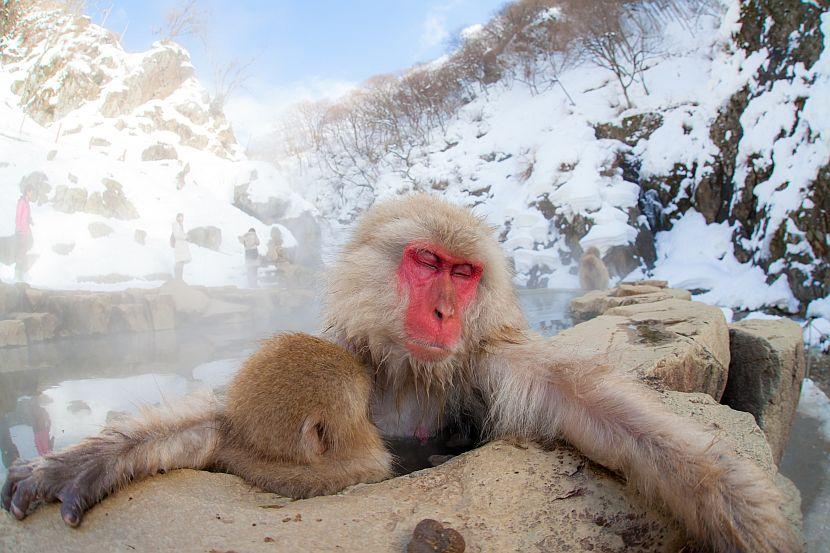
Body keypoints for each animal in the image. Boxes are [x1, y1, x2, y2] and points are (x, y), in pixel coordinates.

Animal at [3, 195, 804, 552]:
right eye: (426, 262)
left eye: (465, 272)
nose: (447, 310)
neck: (410, 373)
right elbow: (224, 421)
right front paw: (92, 458)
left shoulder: (488, 362)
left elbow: (591, 405)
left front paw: (731, 499)